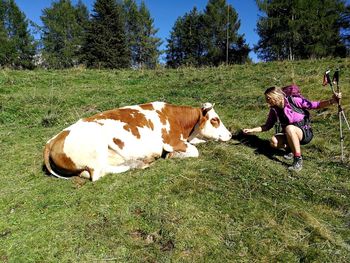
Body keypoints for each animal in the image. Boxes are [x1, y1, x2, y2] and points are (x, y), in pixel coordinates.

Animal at [42, 101, 231, 182]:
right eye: (215, 120)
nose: (230, 135)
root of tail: (52, 139)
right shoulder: (171, 141)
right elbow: (194, 151)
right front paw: (172, 156)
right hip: (96, 148)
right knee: (97, 174)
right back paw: (140, 163)